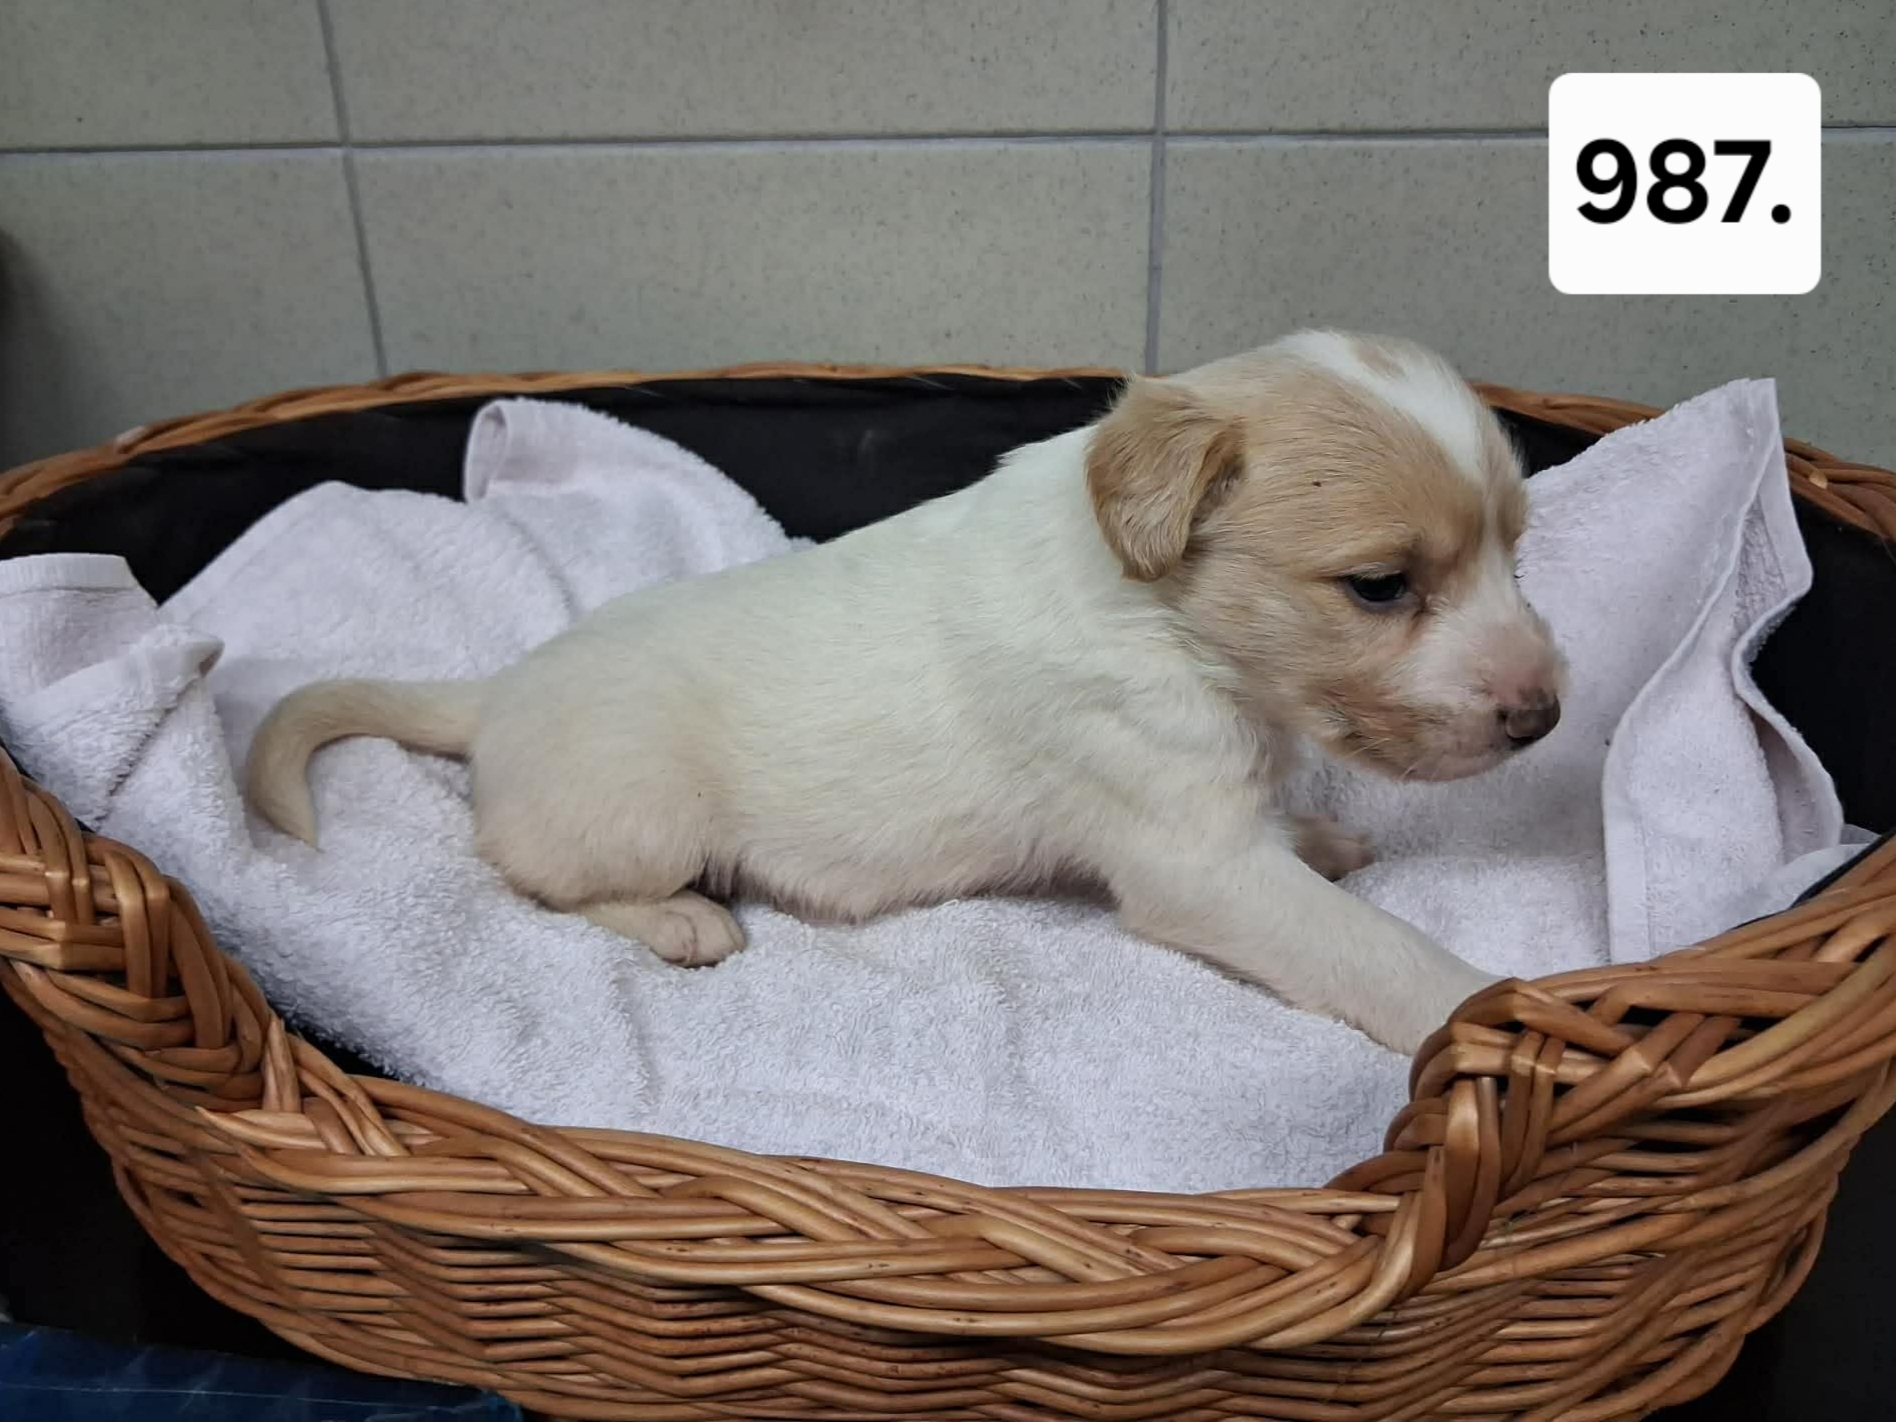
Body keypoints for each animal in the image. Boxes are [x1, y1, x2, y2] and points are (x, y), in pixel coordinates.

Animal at [246, 330, 1564, 1054]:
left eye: (1518, 550)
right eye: (1381, 586)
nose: (1545, 717)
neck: (1165, 619)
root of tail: (499, 692)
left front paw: (1325, 836)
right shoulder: (1195, 862)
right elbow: (1380, 956)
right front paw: (1489, 1017)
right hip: (636, 817)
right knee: (528, 877)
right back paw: (682, 922)